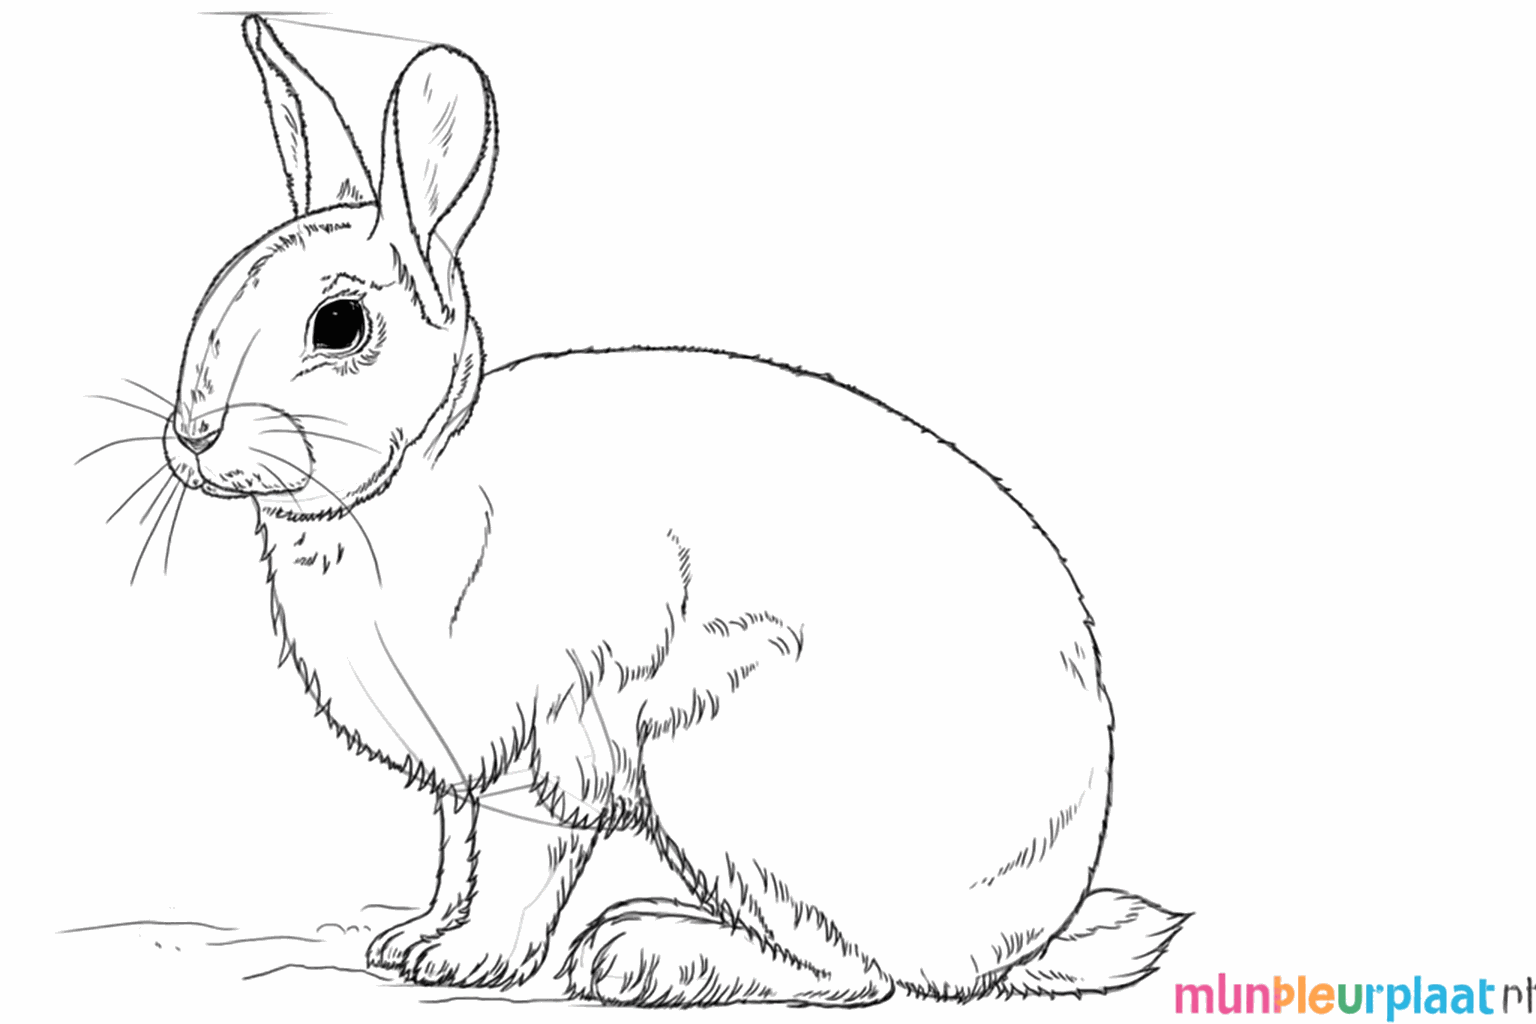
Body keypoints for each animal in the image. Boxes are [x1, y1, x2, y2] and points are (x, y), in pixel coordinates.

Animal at [154, 15, 1188, 1006]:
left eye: (338, 325)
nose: (191, 437)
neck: (415, 484)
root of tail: (1016, 938)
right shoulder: (459, 771)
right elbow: (456, 855)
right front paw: (411, 942)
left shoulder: (545, 743)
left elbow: (518, 866)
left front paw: (469, 963)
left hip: (725, 761)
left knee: (851, 973)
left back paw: (643, 956)